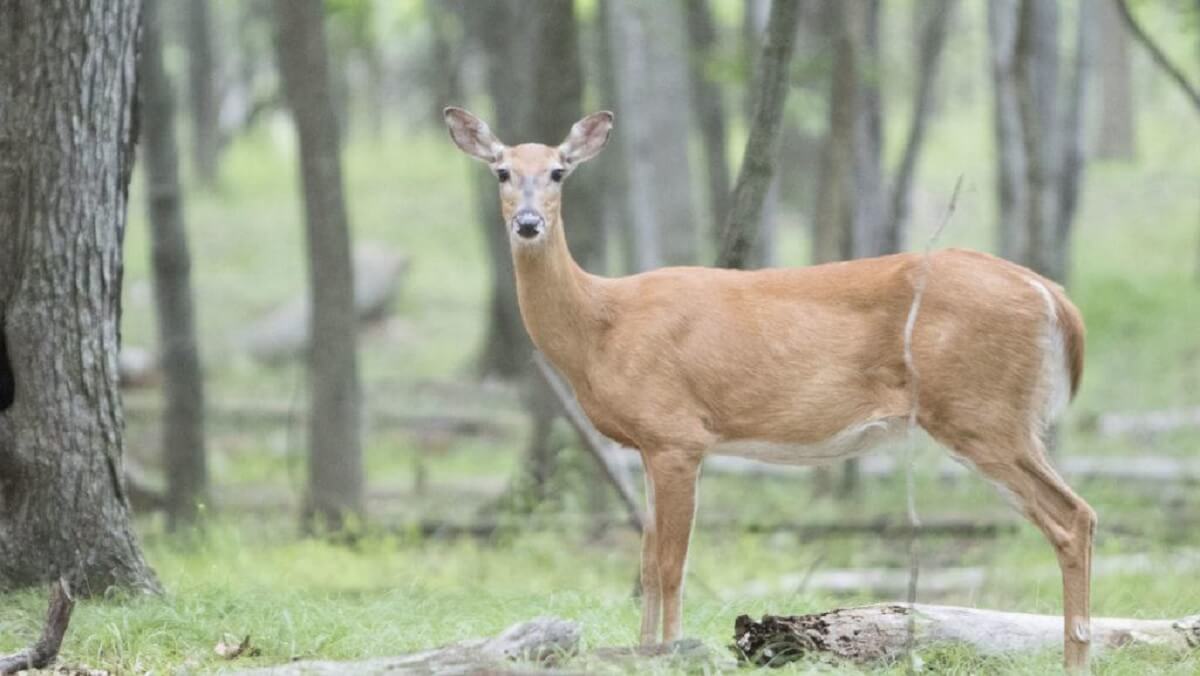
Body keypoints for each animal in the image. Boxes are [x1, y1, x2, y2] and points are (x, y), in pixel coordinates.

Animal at [443, 106, 1096, 672]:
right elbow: (647, 563)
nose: (529, 223)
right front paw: (642, 651)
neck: (602, 324)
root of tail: (1053, 295)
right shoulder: (648, 444)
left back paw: (1075, 659)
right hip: (996, 415)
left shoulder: (678, 434)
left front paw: (672, 651)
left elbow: (671, 563)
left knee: (1072, 516)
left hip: (981, 410)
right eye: (501, 170)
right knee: (1077, 514)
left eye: (559, 170)